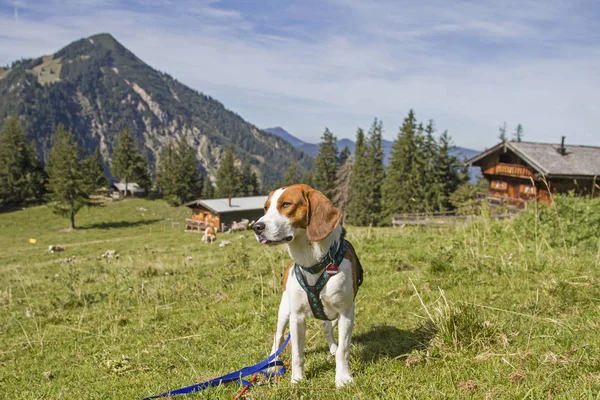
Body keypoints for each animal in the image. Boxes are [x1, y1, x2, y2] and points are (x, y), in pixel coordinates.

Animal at [252, 184, 364, 388]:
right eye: (265, 208)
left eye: (286, 204)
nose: (256, 227)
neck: (313, 262)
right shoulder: (296, 317)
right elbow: (297, 353)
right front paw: (297, 380)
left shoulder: (346, 313)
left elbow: (343, 350)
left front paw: (343, 378)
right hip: (284, 310)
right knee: (278, 337)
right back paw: (273, 364)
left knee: (327, 328)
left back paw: (332, 348)